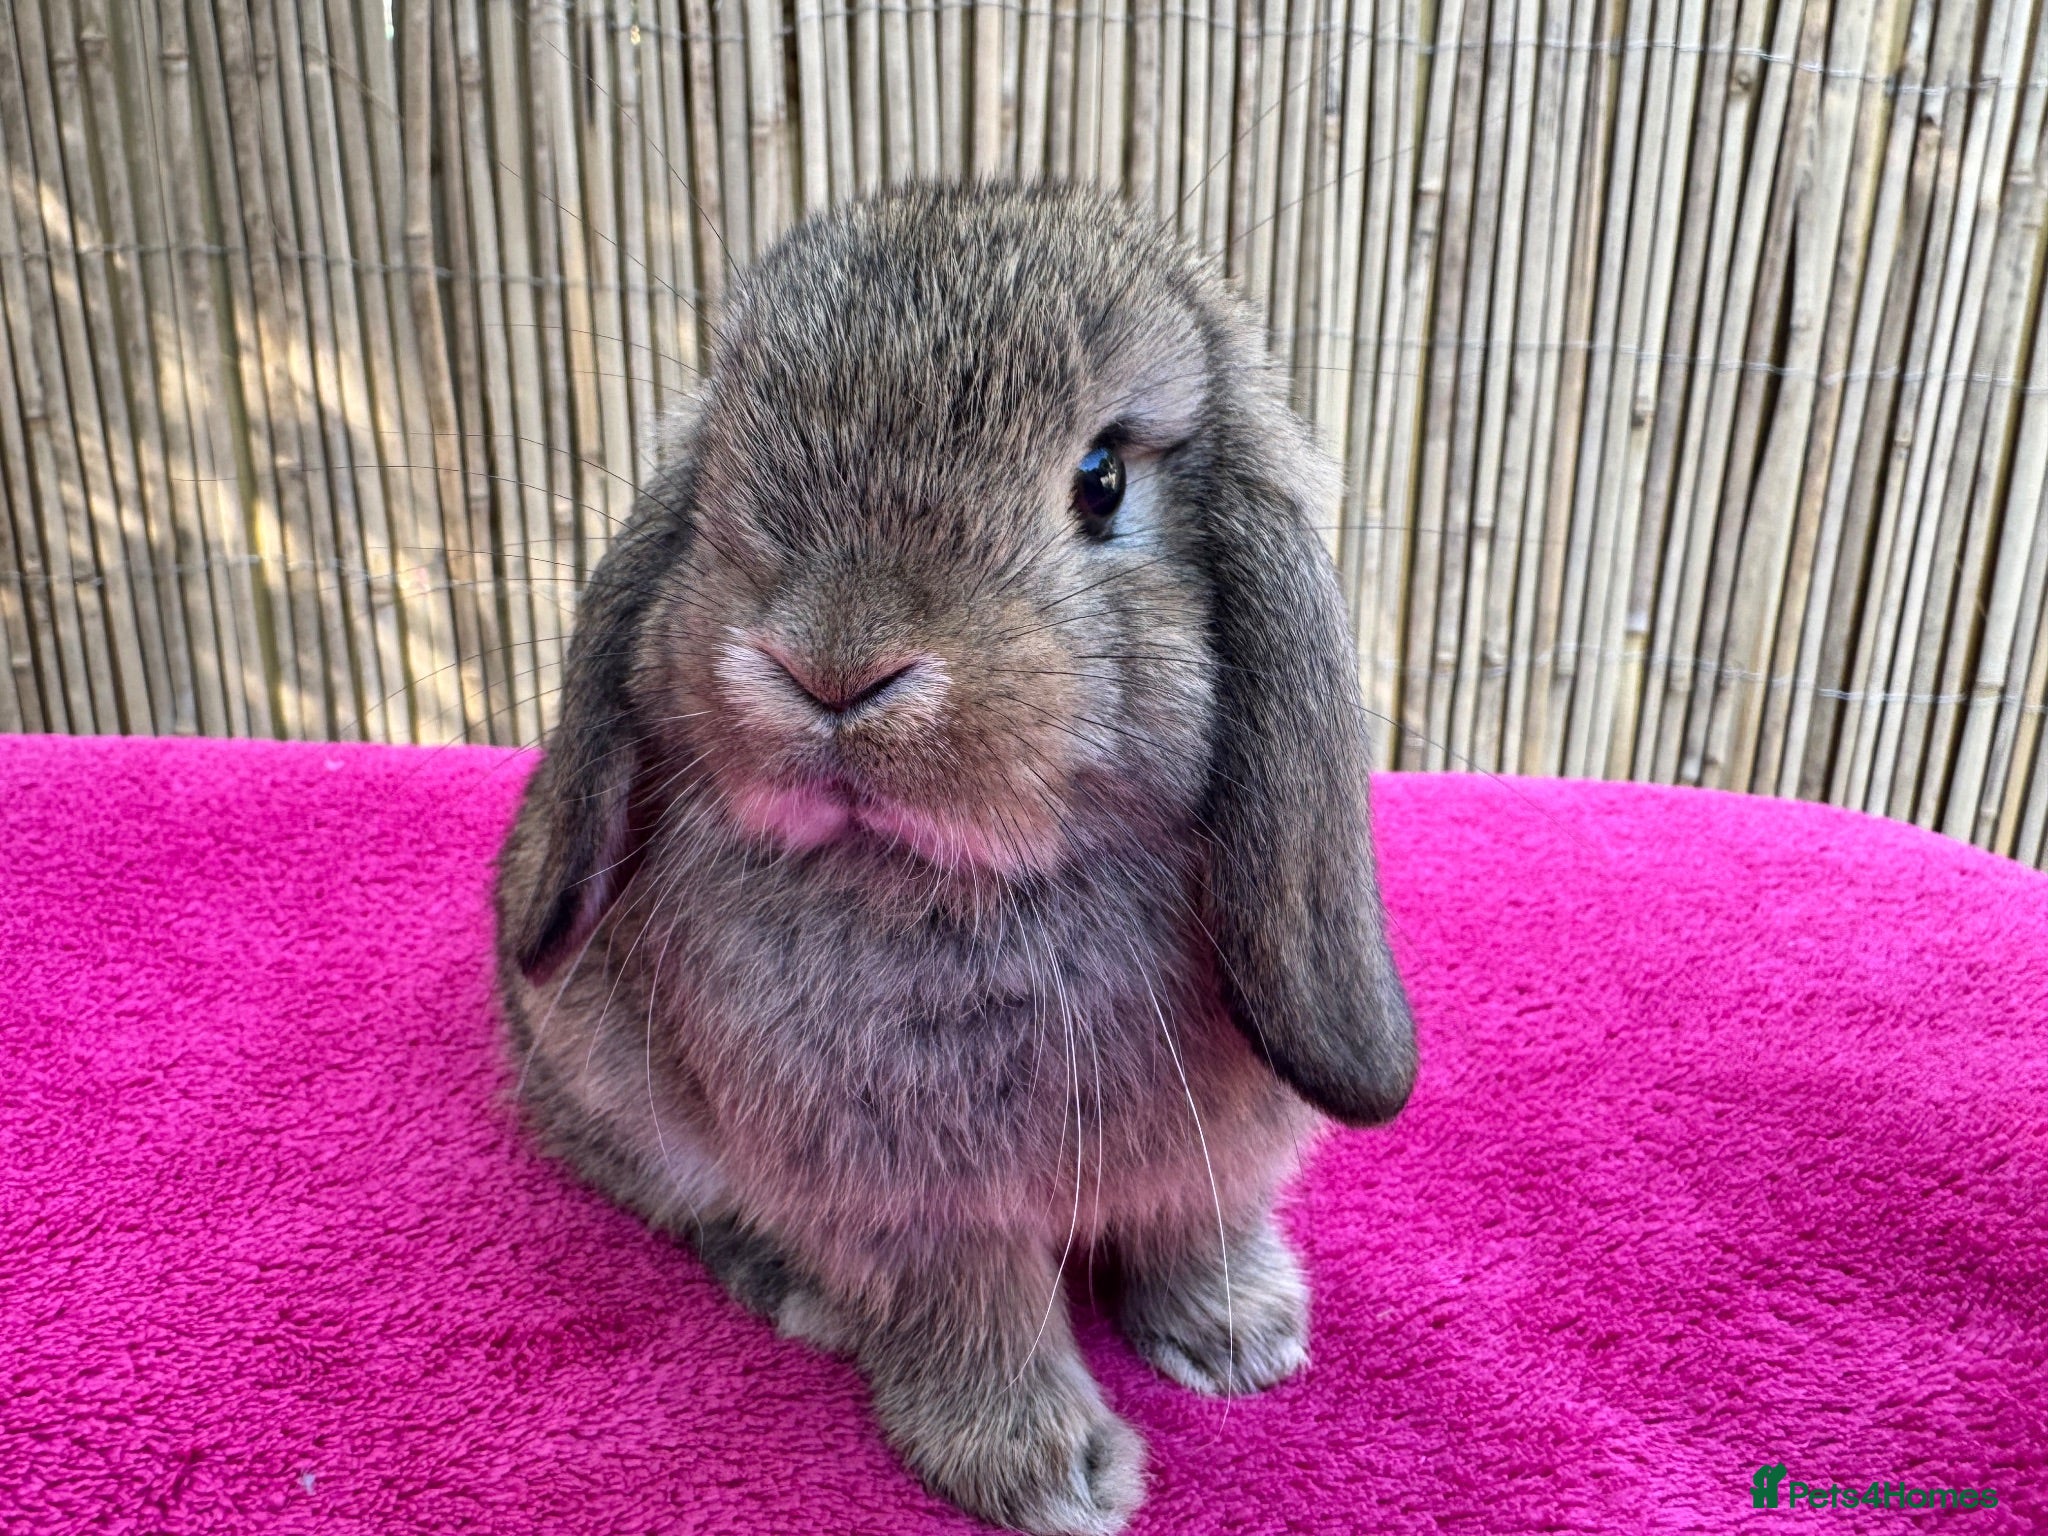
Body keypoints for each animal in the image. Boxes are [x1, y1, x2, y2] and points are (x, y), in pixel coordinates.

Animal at [493, 181, 1416, 1536]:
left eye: (1100, 480)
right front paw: (1050, 1476)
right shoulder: (914, 1203)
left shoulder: (1212, 1157)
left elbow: (1192, 1228)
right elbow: (975, 1313)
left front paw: (1241, 1341)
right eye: (715, 472)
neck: (978, 881)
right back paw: (798, 1292)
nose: (830, 664)